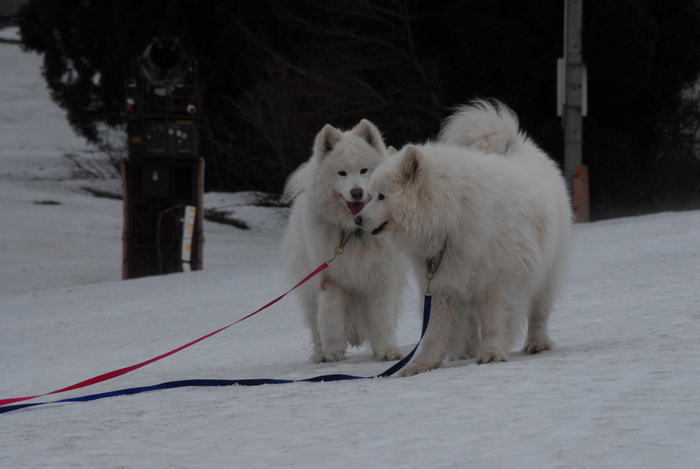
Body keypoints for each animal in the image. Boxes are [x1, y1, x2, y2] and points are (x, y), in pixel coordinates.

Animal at [282, 118, 404, 362]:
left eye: (364, 171)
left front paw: (387, 351)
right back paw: (321, 354)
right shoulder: (330, 279)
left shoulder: (382, 279)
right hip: (309, 286)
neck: (354, 231)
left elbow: (382, 319)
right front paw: (333, 352)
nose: (357, 192)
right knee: (315, 323)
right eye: (342, 173)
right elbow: (330, 318)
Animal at [356, 101, 576, 376]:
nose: (358, 219)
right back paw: (465, 351)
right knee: (470, 323)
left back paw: (536, 343)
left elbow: (493, 322)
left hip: (545, 274)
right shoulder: (442, 285)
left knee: (538, 313)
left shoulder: (499, 282)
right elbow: (434, 332)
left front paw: (491, 354)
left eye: (381, 196)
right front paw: (422, 364)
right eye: (371, 195)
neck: (452, 215)